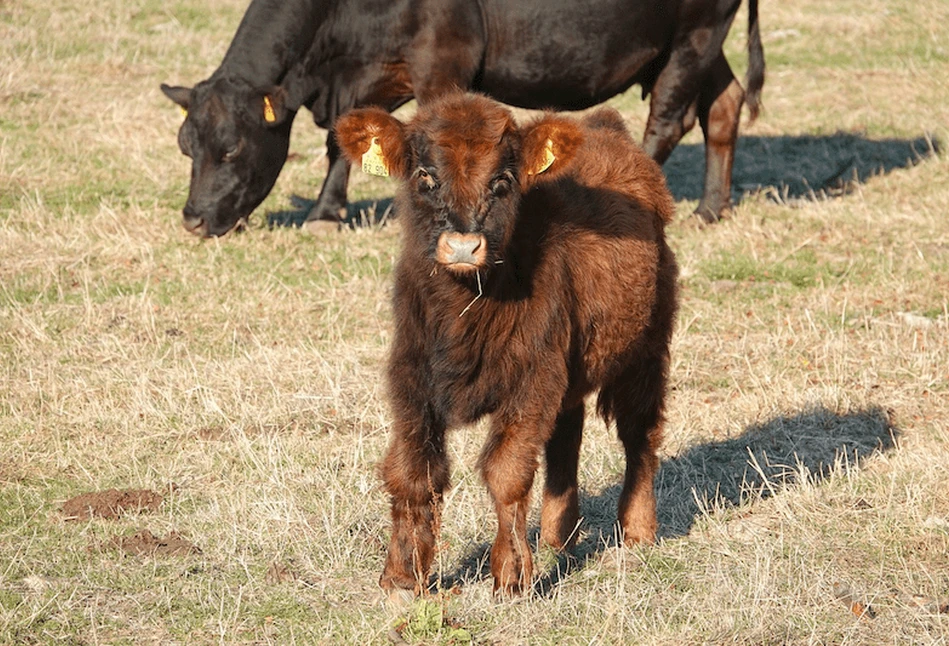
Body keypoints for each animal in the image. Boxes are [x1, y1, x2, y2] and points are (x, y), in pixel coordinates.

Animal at [161, 0, 764, 239]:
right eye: (186, 146)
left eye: (232, 148)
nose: (191, 219)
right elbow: (344, 142)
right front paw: (326, 212)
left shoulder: (443, 63)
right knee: (725, 105)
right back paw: (711, 208)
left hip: (694, 35)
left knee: (666, 121)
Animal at [330, 91, 676, 596]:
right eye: (424, 175)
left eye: (502, 180)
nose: (462, 246)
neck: (463, 313)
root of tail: (606, 126)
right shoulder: (411, 375)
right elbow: (413, 470)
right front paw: (402, 575)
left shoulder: (532, 378)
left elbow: (507, 471)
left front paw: (512, 575)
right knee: (567, 435)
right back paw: (558, 535)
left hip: (646, 349)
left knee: (640, 433)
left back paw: (637, 531)